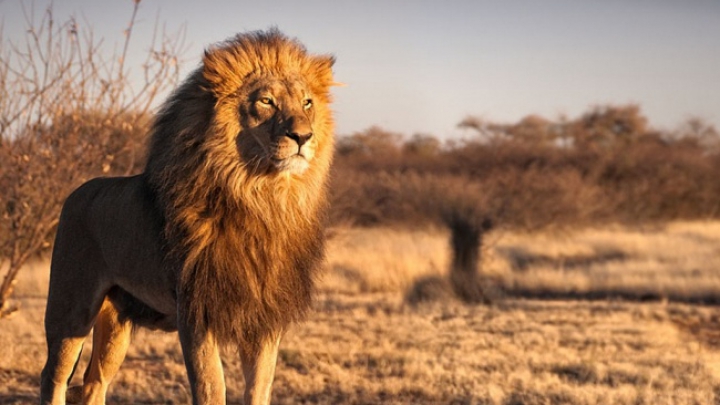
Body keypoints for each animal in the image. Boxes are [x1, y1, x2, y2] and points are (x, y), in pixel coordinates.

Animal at [40, 29, 338, 404]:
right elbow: (212, 386)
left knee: (94, 384)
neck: (262, 198)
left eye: (307, 103)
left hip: (116, 323)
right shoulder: (196, 313)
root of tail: (76, 192)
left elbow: (260, 387)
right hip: (70, 309)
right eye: (267, 101)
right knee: (53, 377)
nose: (302, 136)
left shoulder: (265, 318)